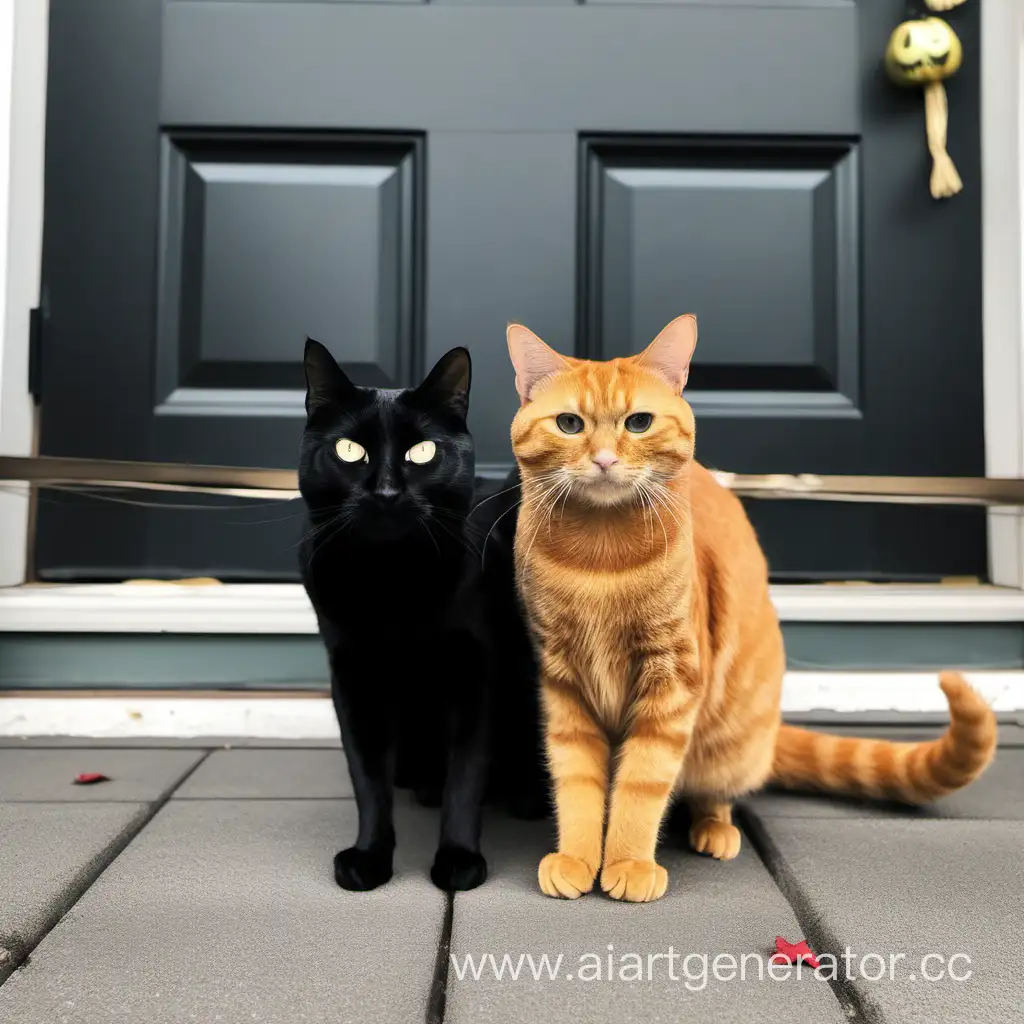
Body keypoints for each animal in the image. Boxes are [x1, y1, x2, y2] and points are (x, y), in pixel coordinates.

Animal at [299, 339, 491, 892]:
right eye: (349, 450)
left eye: (421, 452)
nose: (385, 491)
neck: (393, 580)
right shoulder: (352, 675)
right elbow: (368, 780)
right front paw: (368, 857)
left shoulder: (473, 670)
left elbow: (466, 775)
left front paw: (459, 860)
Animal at [507, 313, 995, 905]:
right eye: (569, 424)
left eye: (639, 422)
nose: (603, 459)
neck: (598, 561)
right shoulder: (563, 681)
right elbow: (577, 779)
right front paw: (578, 856)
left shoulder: (673, 682)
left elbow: (642, 782)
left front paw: (628, 861)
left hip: (726, 739)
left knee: (715, 791)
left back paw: (714, 830)